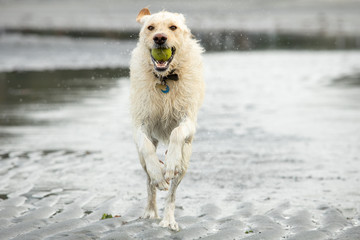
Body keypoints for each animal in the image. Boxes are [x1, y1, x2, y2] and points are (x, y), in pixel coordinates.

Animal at [129, 7, 204, 231]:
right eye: (150, 27)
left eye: (173, 27)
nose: (160, 38)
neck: (164, 78)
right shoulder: (140, 124)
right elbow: (146, 146)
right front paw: (157, 171)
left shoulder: (188, 120)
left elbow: (177, 133)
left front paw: (170, 162)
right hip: (141, 160)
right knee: (149, 183)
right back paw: (149, 211)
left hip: (186, 160)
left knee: (172, 194)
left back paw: (168, 219)